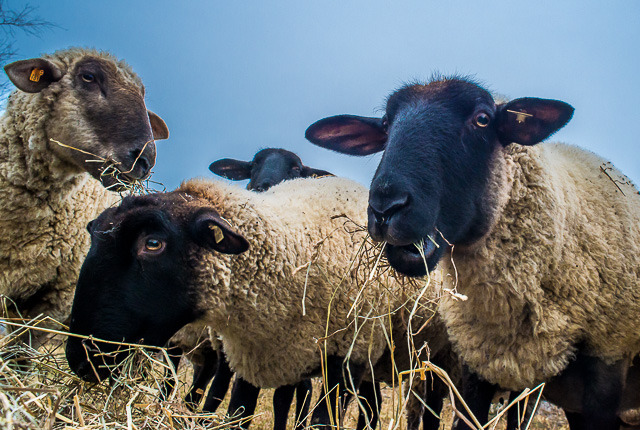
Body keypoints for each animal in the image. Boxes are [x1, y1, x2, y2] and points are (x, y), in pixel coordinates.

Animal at [64, 176, 438, 429]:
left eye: (153, 243)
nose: (81, 358)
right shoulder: (254, 360)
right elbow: (237, 415)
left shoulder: (349, 354)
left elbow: (321, 422)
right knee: (372, 406)